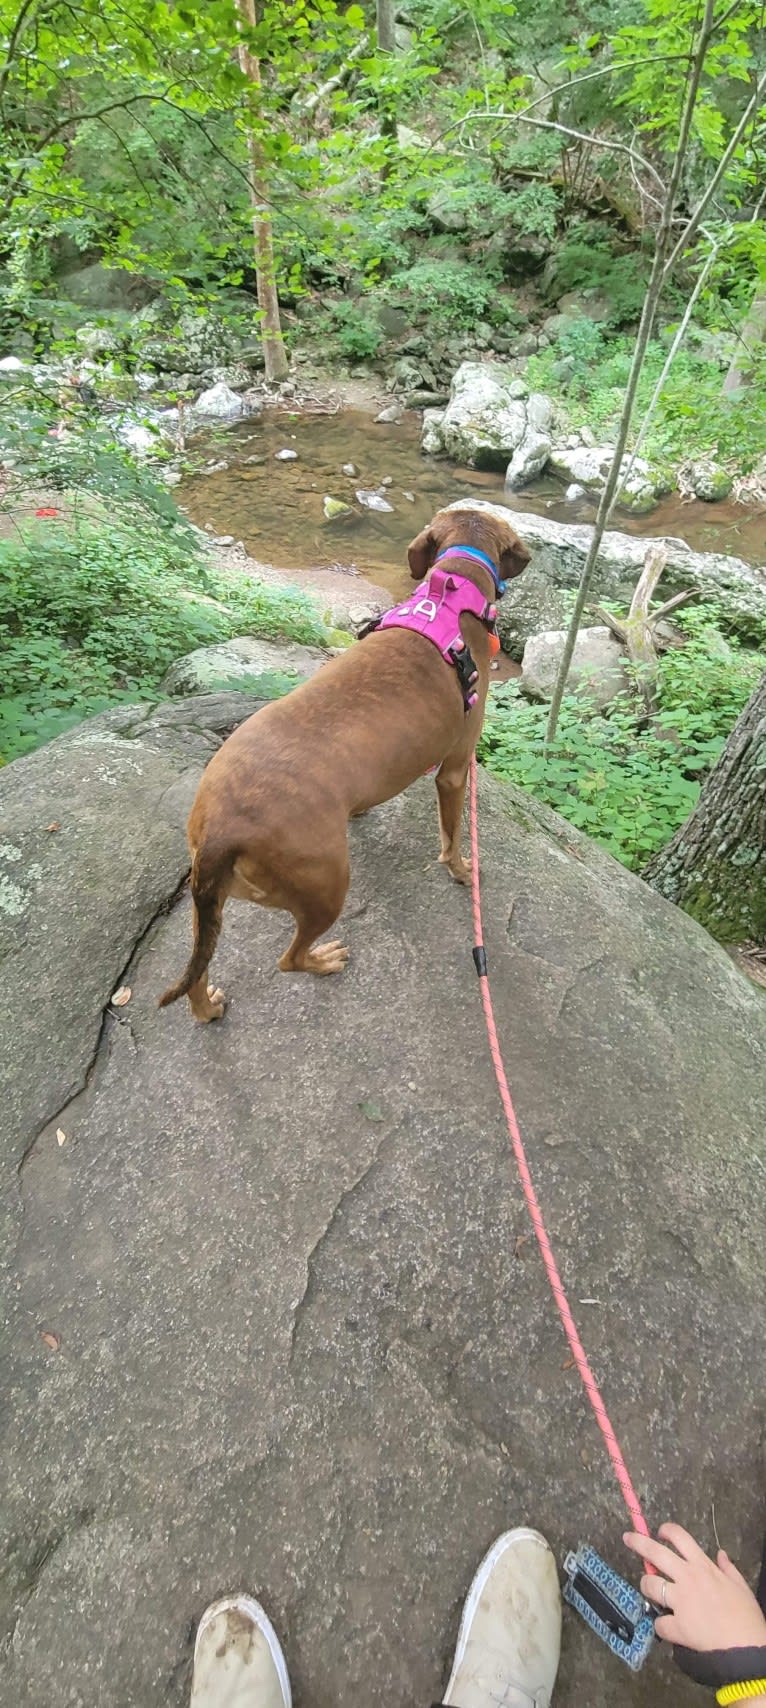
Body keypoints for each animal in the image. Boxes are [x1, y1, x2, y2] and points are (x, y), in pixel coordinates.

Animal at [159, 502, 533, 1011]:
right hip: (327, 886)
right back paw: (322, 960)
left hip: (209, 901)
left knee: (197, 974)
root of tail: (222, 829)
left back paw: (208, 1008)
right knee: (289, 959)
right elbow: (452, 840)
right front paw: (461, 871)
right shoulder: (455, 771)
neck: (452, 595)